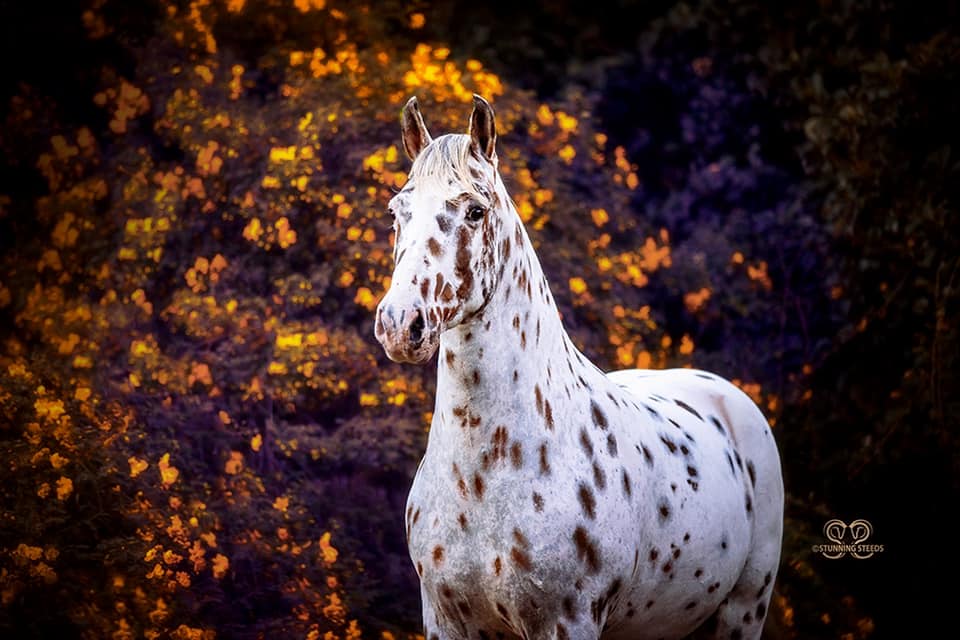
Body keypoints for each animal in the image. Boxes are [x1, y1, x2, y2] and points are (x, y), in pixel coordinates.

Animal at [372, 95, 784, 640]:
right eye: (397, 211)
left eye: (475, 211)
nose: (400, 324)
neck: (485, 476)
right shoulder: (444, 621)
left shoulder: (566, 620)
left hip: (742, 612)